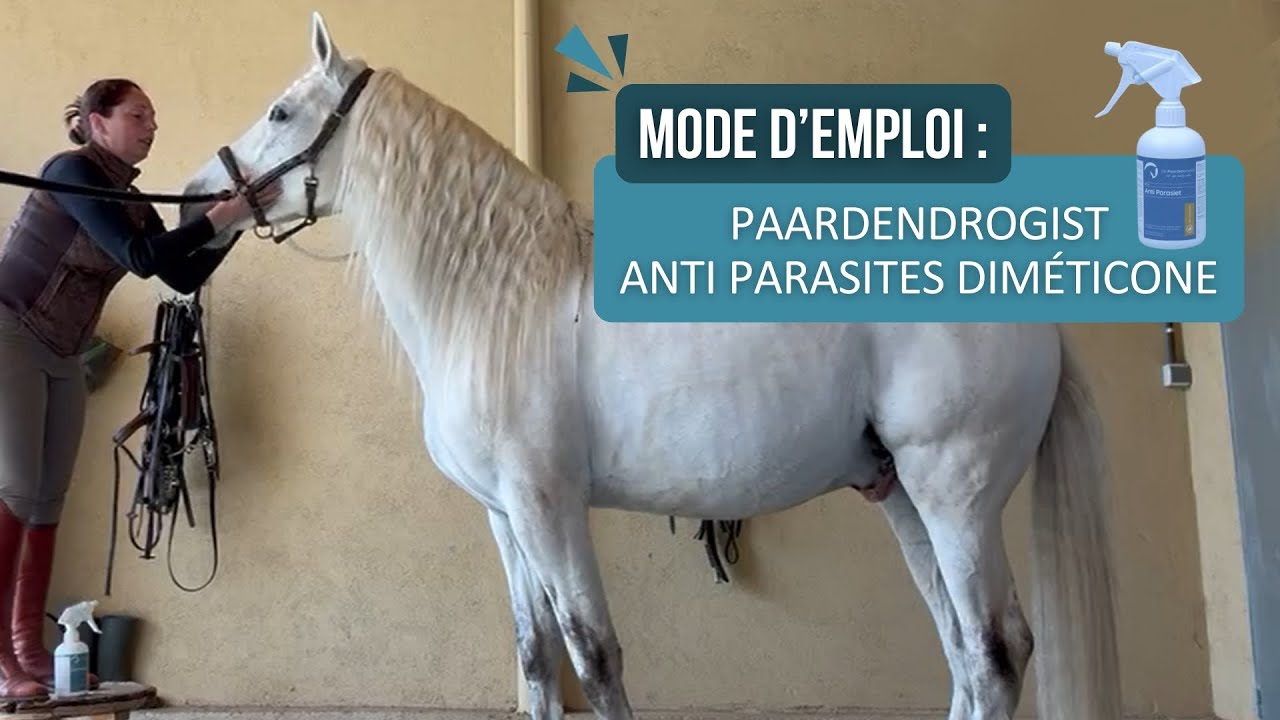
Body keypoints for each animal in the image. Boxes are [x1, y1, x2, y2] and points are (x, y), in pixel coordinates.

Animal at [177, 12, 1122, 720]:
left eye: (280, 114)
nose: (191, 201)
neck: (496, 298)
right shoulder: (504, 518)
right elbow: (536, 660)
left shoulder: (548, 508)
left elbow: (595, 658)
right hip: (899, 494)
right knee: (962, 649)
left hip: (954, 492)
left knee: (996, 653)